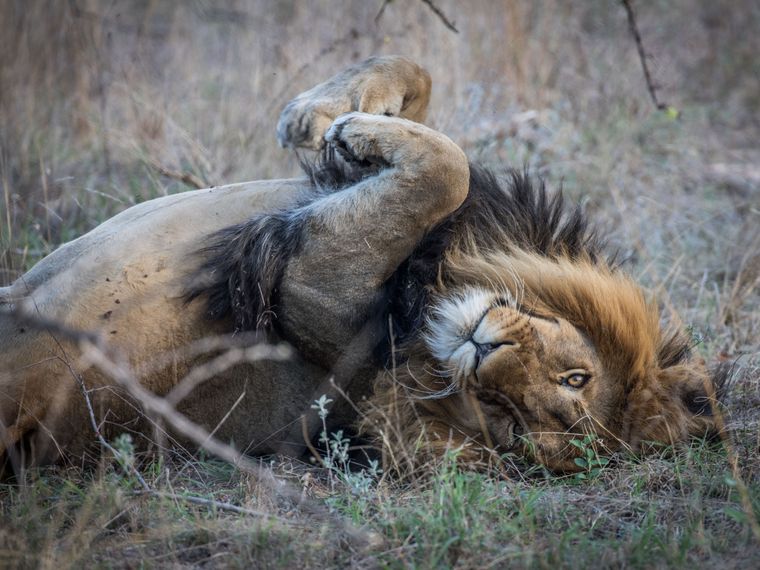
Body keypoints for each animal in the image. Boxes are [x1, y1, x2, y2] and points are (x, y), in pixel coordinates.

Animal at [0, 56, 724, 474]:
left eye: (512, 424)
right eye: (577, 379)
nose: (484, 355)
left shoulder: (311, 288)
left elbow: (448, 170)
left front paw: (344, 127)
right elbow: (425, 100)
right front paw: (324, 118)